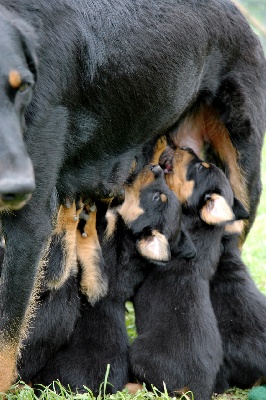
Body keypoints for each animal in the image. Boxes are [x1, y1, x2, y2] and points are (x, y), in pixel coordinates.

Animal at [130, 146, 248, 400]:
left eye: (200, 167)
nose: (185, 147)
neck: (201, 229)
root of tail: (198, 388)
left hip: (140, 353)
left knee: (154, 386)